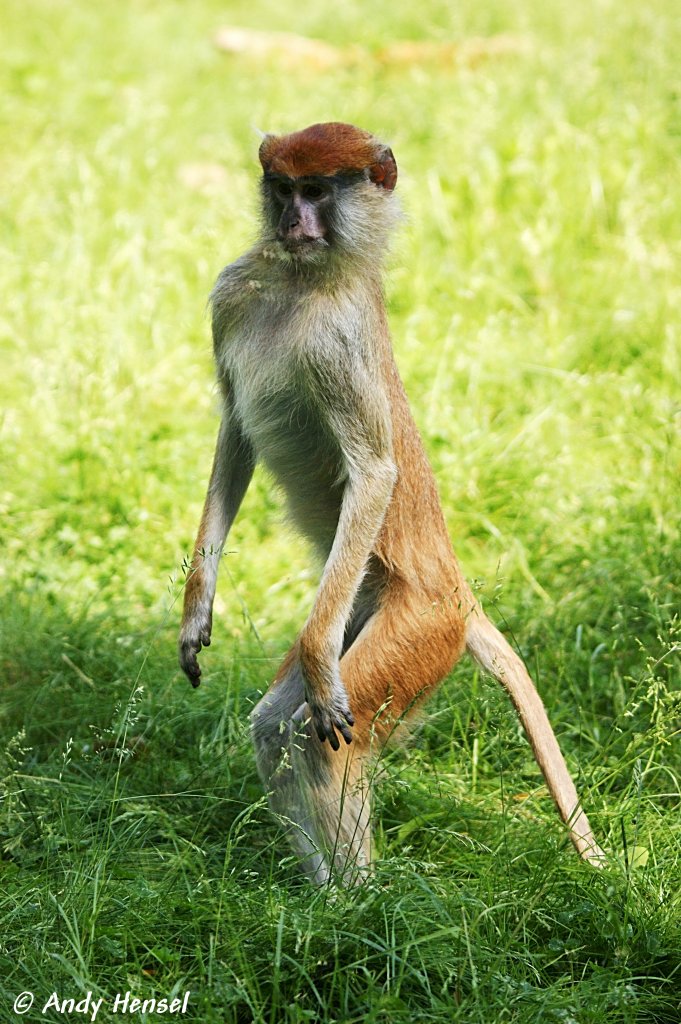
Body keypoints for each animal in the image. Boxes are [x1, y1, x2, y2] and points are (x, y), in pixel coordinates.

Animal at [178, 123, 602, 884]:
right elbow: (236, 434)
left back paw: (352, 902)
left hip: (417, 628)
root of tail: (458, 593)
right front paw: (196, 611)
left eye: (319, 191)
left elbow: (373, 472)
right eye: (282, 188)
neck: (304, 278)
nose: (293, 223)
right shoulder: (233, 294)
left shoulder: (339, 344)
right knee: (276, 729)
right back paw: (320, 895)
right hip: (365, 603)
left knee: (325, 737)